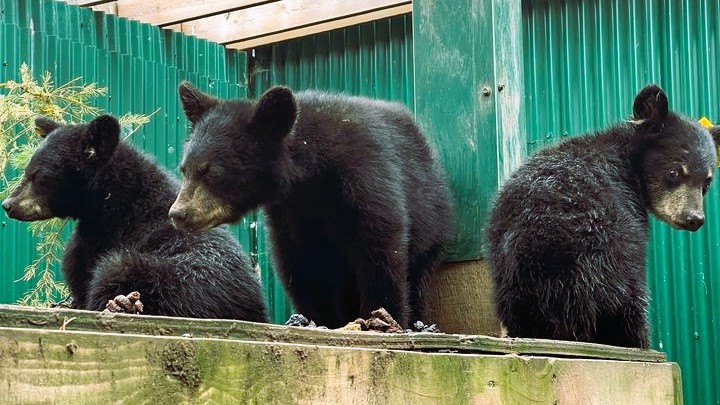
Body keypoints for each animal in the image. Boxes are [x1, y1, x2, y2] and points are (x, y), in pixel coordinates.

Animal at [2, 114, 268, 322]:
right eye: (27, 170)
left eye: (39, 175)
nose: (8, 205)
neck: (112, 200)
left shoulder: (101, 238)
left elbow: (79, 267)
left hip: (152, 274)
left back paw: (120, 305)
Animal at [168, 83, 450, 328]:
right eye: (185, 169)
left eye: (211, 172)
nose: (178, 213)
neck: (310, 177)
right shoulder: (290, 211)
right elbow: (300, 264)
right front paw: (319, 319)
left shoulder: (365, 178)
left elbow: (380, 248)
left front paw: (383, 317)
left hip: (431, 222)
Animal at [486, 84, 716, 348]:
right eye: (674, 172)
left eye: (707, 182)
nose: (694, 218)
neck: (627, 160)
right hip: (606, 261)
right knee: (628, 304)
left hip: (511, 279)